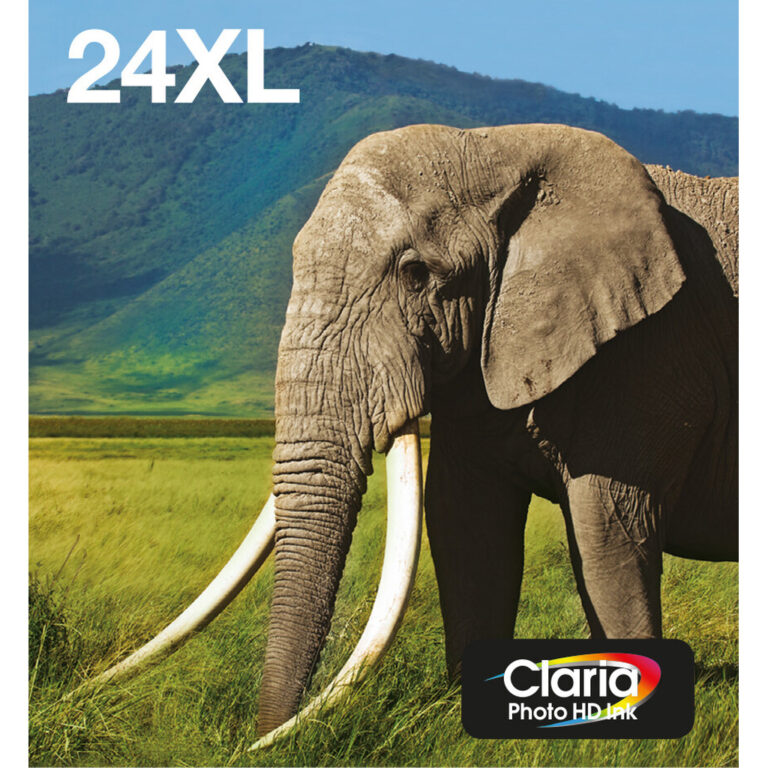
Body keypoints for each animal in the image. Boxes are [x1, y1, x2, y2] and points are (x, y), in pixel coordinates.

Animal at [77, 123, 737, 748]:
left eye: (416, 274)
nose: (255, 737)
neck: (498, 145)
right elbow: (465, 524)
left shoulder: (653, 347)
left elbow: (610, 528)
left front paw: (628, 729)